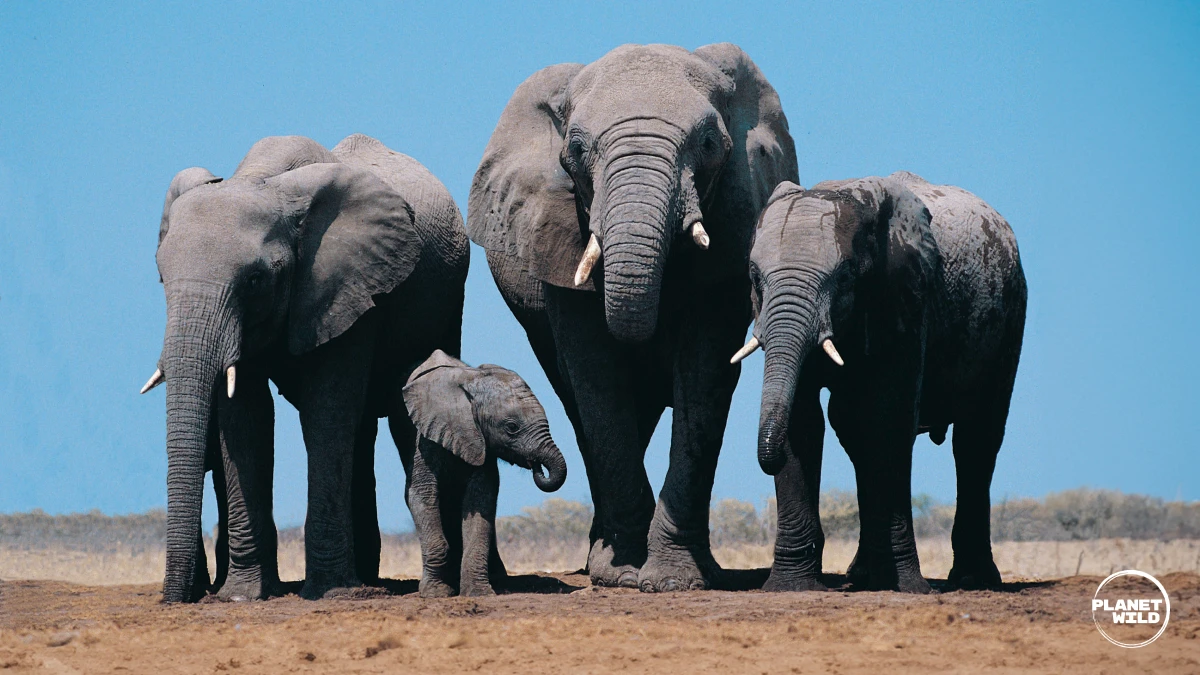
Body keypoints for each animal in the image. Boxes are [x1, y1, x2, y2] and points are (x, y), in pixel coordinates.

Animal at [144, 133, 469, 602]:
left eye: (255, 280)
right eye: (161, 278)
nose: (177, 600)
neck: (263, 179)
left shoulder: (350, 285)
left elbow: (326, 411)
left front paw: (329, 591)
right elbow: (246, 418)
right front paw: (243, 595)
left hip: (448, 303)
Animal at [400, 349, 566, 597]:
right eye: (511, 427)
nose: (536, 465)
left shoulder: (482, 444)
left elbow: (480, 501)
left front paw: (479, 593)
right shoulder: (425, 438)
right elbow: (421, 495)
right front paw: (436, 593)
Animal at [467, 43, 797, 591]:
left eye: (709, 143)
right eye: (576, 150)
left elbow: (705, 372)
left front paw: (677, 580)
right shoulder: (558, 230)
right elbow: (596, 374)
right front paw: (621, 574)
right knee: (578, 402)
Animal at [734, 172, 1026, 593]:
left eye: (844, 278)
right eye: (755, 278)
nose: (764, 461)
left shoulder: (905, 298)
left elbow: (888, 418)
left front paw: (907, 587)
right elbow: (803, 421)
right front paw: (790, 588)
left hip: (1011, 313)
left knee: (977, 439)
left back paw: (973, 580)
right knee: (852, 433)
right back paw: (863, 575)